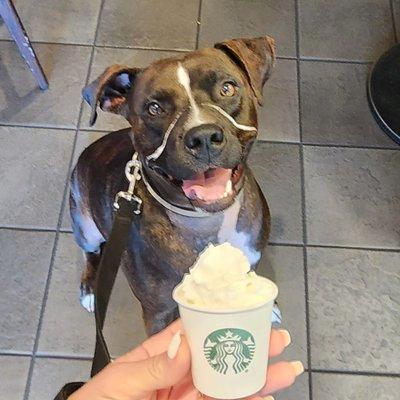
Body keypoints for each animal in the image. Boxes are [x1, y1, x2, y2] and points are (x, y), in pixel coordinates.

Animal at [70, 36, 276, 334]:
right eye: (155, 108)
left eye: (227, 88)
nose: (203, 137)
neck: (207, 222)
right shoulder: (158, 312)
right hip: (85, 226)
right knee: (89, 252)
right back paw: (89, 289)